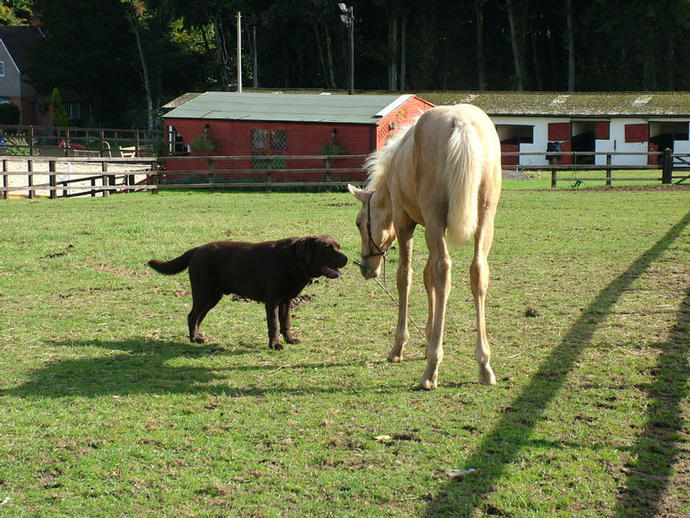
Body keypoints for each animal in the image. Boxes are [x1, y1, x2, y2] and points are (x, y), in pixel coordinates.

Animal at [350, 104, 500, 390]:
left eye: (359, 223)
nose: (365, 268)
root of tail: (461, 122)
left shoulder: (405, 223)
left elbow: (406, 277)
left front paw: (399, 346)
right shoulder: (433, 229)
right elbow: (427, 276)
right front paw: (430, 334)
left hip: (434, 219)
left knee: (443, 270)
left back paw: (432, 368)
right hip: (484, 217)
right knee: (477, 272)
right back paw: (484, 364)